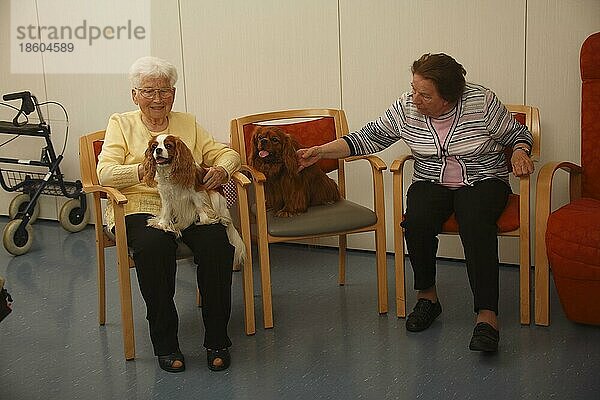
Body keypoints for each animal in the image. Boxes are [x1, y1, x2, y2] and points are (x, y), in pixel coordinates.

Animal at [142, 133, 245, 268]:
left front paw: (205, 221)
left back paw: (220, 219)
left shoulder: (197, 193)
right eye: (154, 147)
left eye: (168, 146)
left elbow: (200, 208)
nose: (158, 150)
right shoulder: (166, 197)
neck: (170, 172)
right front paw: (162, 224)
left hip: (215, 196)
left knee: (222, 216)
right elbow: (166, 212)